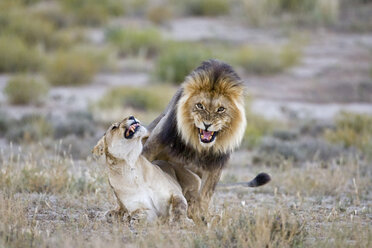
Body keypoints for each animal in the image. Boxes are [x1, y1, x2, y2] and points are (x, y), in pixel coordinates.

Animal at [144, 60, 268, 221]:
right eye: (199, 105)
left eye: (221, 109)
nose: (207, 124)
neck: (198, 146)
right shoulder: (154, 144)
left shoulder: (215, 165)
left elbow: (205, 196)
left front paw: (201, 217)